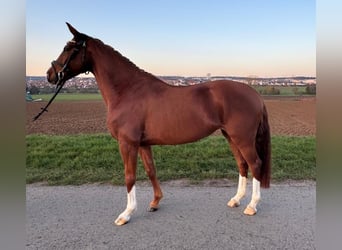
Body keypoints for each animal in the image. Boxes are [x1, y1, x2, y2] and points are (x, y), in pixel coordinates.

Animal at [46, 23, 270, 227]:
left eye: (68, 48)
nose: (50, 74)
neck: (128, 90)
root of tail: (254, 94)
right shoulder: (143, 144)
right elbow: (150, 170)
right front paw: (155, 203)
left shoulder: (127, 143)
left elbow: (129, 176)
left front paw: (126, 214)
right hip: (230, 136)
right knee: (242, 165)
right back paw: (236, 200)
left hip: (242, 138)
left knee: (255, 164)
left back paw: (252, 206)